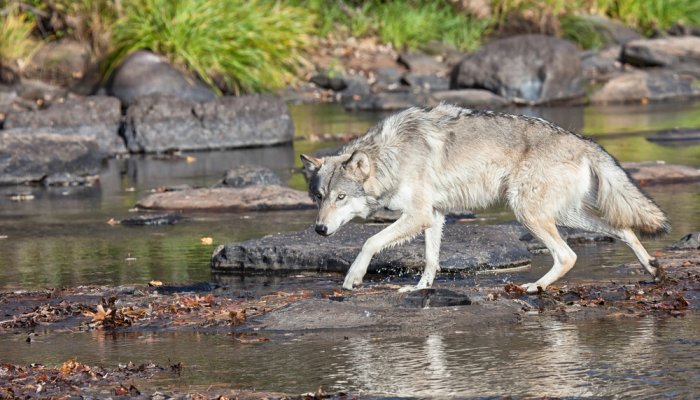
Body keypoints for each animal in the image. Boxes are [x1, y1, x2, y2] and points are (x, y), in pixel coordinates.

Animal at [301, 104, 669, 293]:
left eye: (342, 197)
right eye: (319, 197)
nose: (319, 230)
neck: (390, 156)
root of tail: (583, 141)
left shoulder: (419, 214)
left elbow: (369, 242)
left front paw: (353, 278)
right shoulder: (434, 215)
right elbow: (431, 259)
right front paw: (420, 288)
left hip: (528, 213)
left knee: (568, 255)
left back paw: (534, 287)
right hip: (564, 215)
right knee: (622, 228)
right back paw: (651, 268)